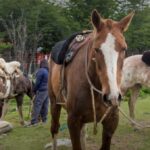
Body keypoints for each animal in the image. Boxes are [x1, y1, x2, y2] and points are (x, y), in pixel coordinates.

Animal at [48, 9, 134, 150]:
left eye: (124, 48)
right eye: (96, 49)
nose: (112, 97)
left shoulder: (111, 121)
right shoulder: (73, 121)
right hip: (54, 102)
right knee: (54, 129)